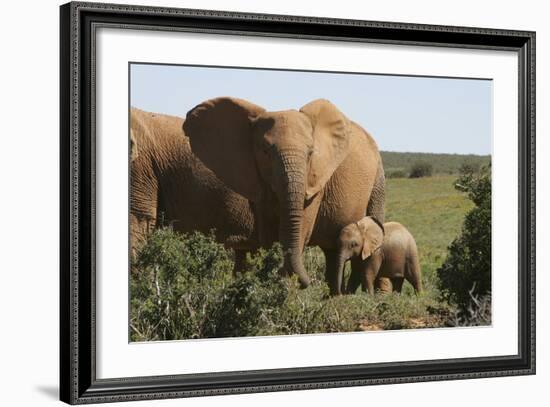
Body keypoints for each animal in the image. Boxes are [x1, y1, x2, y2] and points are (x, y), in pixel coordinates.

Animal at [183, 96, 386, 294]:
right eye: (265, 151)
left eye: (310, 152)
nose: (306, 283)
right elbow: (267, 231)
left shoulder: (315, 181)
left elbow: (302, 227)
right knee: (332, 251)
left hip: (378, 179)